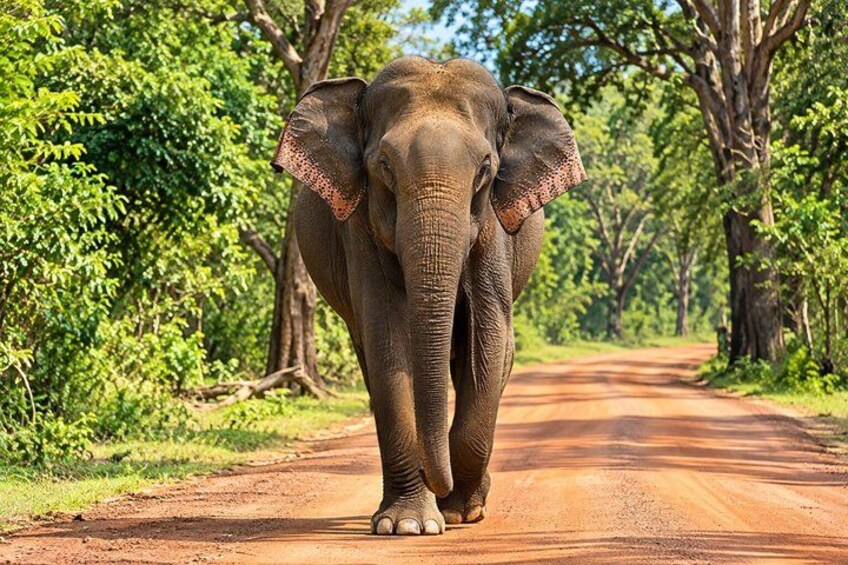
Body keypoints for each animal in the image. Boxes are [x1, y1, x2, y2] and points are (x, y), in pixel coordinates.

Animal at [271, 56, 586, 536]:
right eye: (384, 165)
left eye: (485, 168)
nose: (438, 483)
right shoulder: (359, 227)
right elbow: (386, 337)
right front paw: (406, 525)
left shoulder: (493, 226)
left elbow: (488, 337)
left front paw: (459, 511)